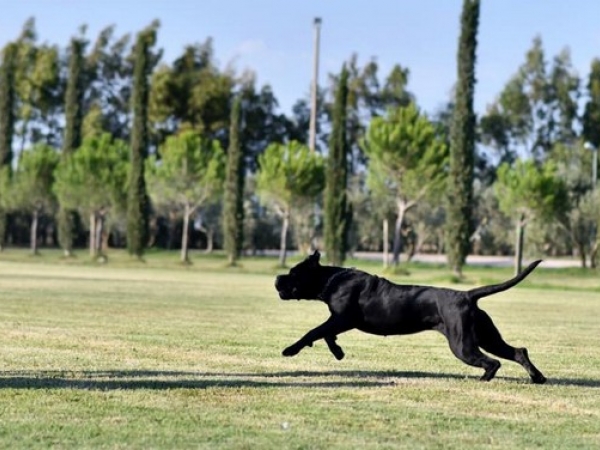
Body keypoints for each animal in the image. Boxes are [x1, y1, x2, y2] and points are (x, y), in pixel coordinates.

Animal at [274, 250, 548, 384]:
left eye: (293, 273)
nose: (277, 278)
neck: (330, 280)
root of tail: (466, 295)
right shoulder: (339, 321)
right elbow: (326, 335)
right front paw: (338, 352)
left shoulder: (342, 320)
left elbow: (314, 331)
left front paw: (290, 350)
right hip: (486, 337)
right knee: (518, 352)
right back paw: (537, 378)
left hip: (463, 345)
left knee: (493, 362)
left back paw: (483, 379)